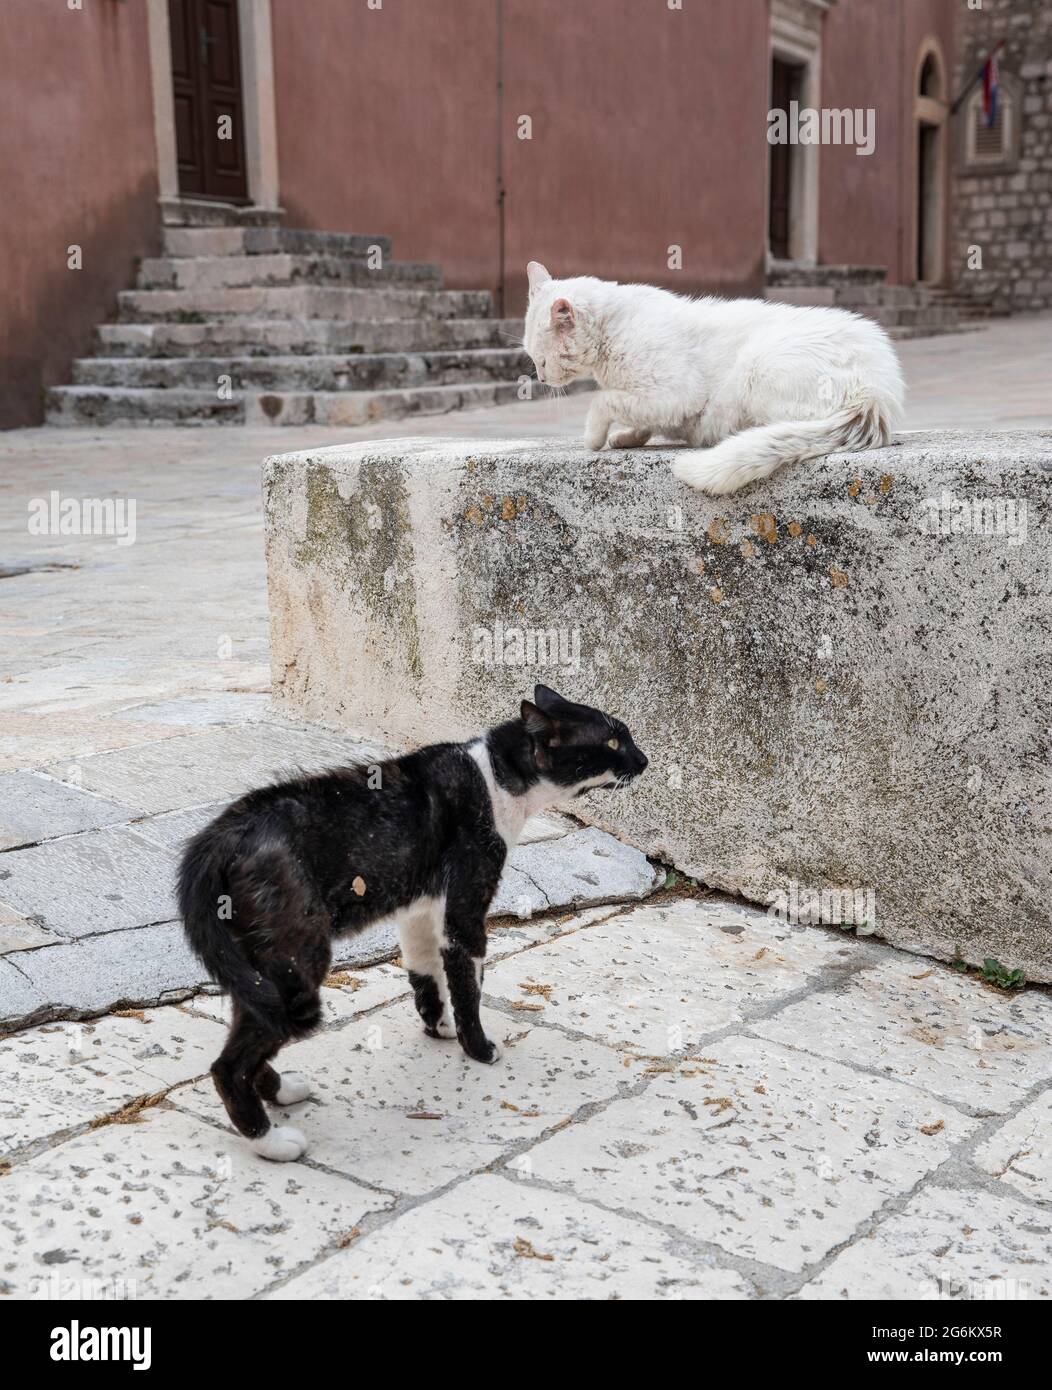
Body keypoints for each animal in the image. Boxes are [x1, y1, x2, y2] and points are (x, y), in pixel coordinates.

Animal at [180, 686, 647, 1162]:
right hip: (298, 955)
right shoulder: (464, 911)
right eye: (613, 742)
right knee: (228, 1065)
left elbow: (426, 974)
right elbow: (469, 985)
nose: (645, 760)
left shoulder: (420, 911)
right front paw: (477, 1047)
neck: (496, 777)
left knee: (250, 1030)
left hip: (259, 967)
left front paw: (440, 1027)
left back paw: (281, 1091)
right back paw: (271, 1142)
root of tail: (220, 836)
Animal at [522, 262, 900, 497]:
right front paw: (628, 437)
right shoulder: (653, 404)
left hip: (759, 367)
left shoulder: (676, 395)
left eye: (541, 360)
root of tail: (878, 392)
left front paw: (594, 438)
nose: (540, 376)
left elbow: (604, 400)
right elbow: (636, 414)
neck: (611, 330)